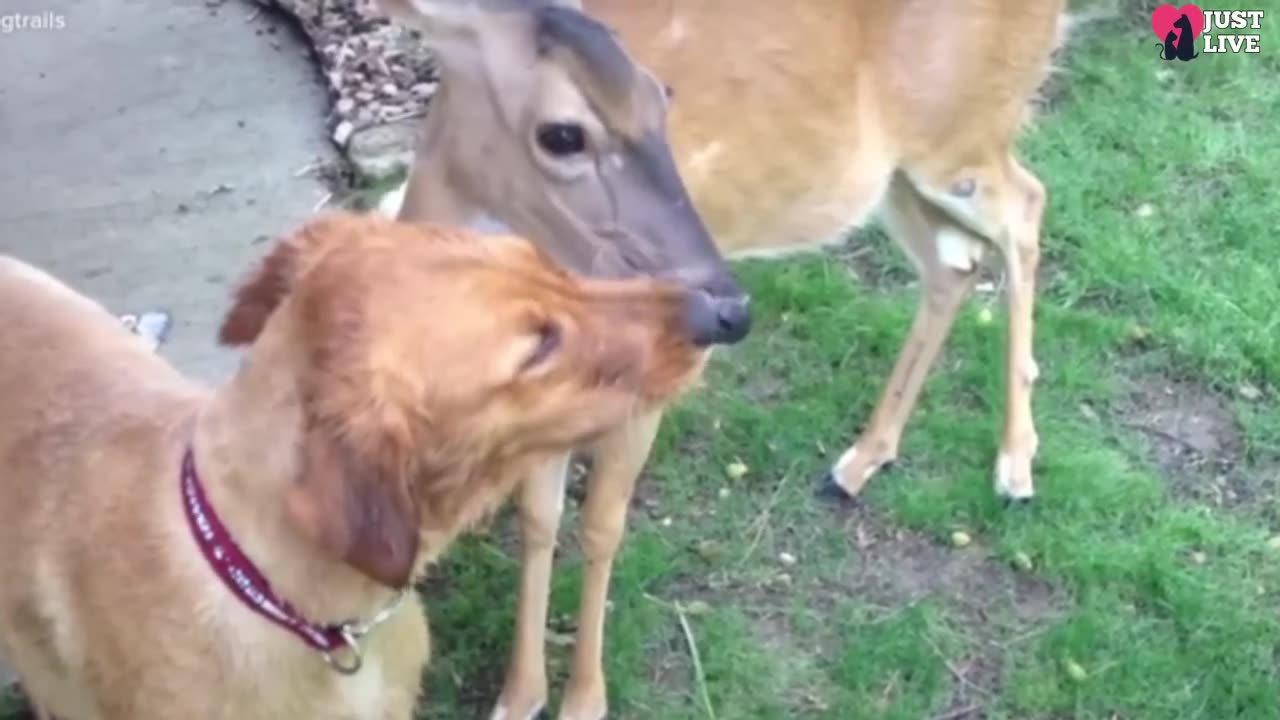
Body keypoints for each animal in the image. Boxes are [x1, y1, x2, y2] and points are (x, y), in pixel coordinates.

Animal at [376, 1, 1070, 717]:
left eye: (662, 97)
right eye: (563, 135)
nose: (725, 310)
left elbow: (600, 527)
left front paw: (585, 700)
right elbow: (539, 521)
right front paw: (518, 696)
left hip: (961, 137)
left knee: (1025, 205)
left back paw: (1015, 464)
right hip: (898, 173)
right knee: (954, 261)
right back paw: (860, 462)